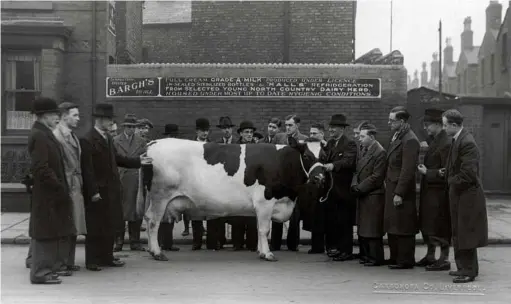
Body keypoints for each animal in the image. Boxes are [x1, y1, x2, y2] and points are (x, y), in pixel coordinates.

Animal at [138, 137, 326, 260]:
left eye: (324, 157)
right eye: (307, 156)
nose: (320, 178)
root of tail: (153, 143)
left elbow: (259, 228)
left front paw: (260, 251)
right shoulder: (264, 202)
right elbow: (264, 229)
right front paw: (267, 254)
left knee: (147, 218)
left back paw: (151, 250)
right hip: (160, 196)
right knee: (153, 221)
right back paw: (157, 253)